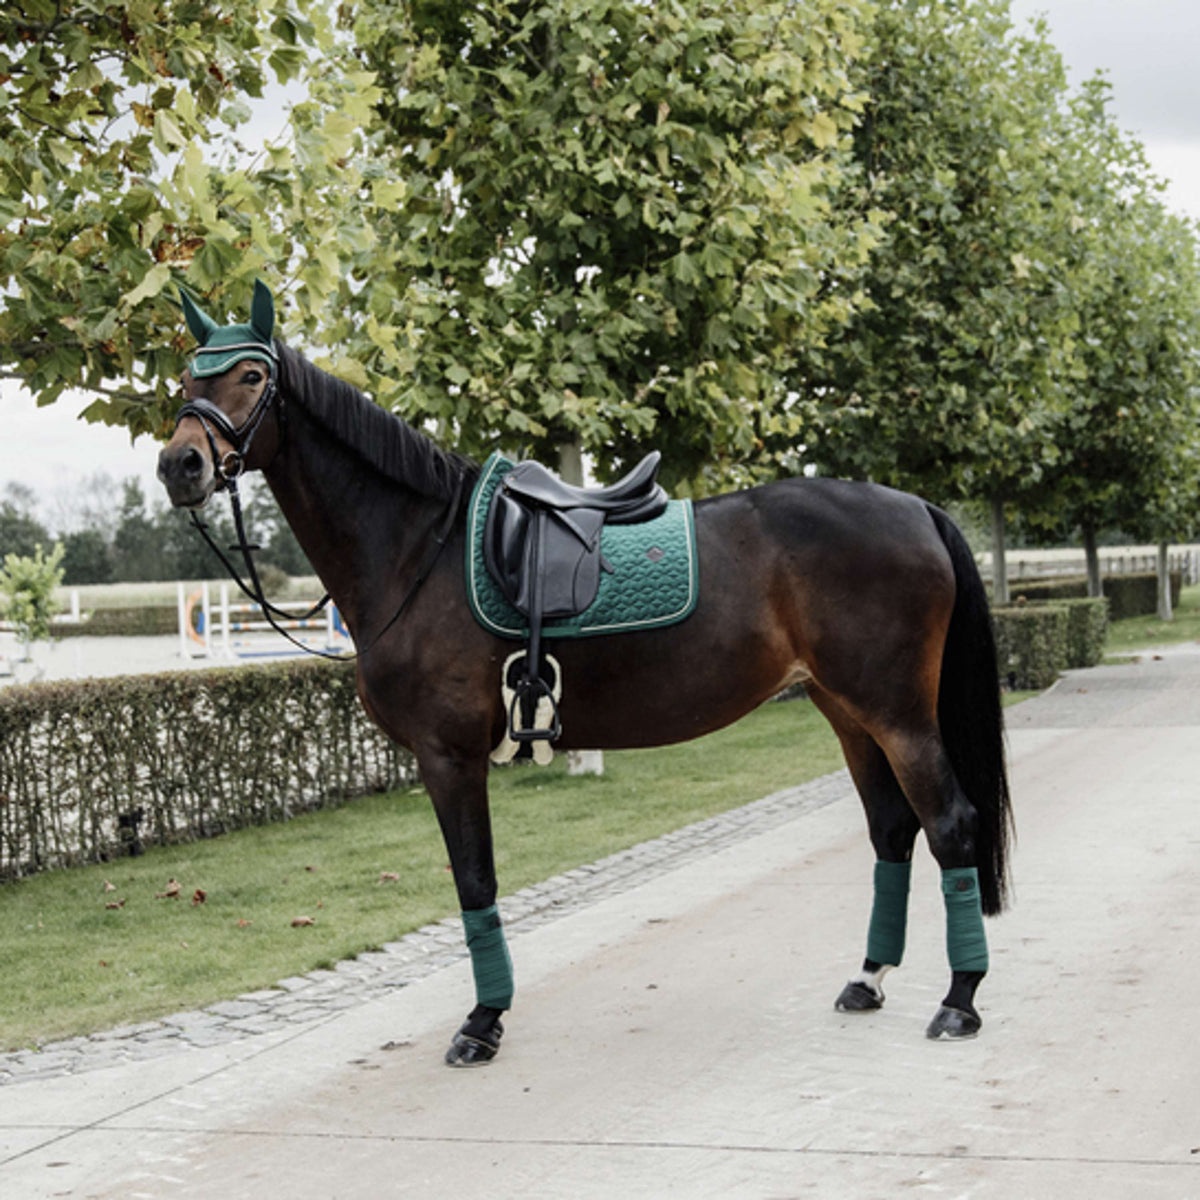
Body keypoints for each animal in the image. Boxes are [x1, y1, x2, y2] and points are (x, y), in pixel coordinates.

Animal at [154, 283, 1008, 1070]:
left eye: (253, 375)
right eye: (188, 374)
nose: (179, 464)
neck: (418, 548)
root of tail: (916, 508)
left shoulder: (448, 755)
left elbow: (476, 883)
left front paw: (482, 1023)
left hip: (898, 715)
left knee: (950, 826)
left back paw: (960, 1000)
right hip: (847, 710)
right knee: (892, 829)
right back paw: (868, 979)